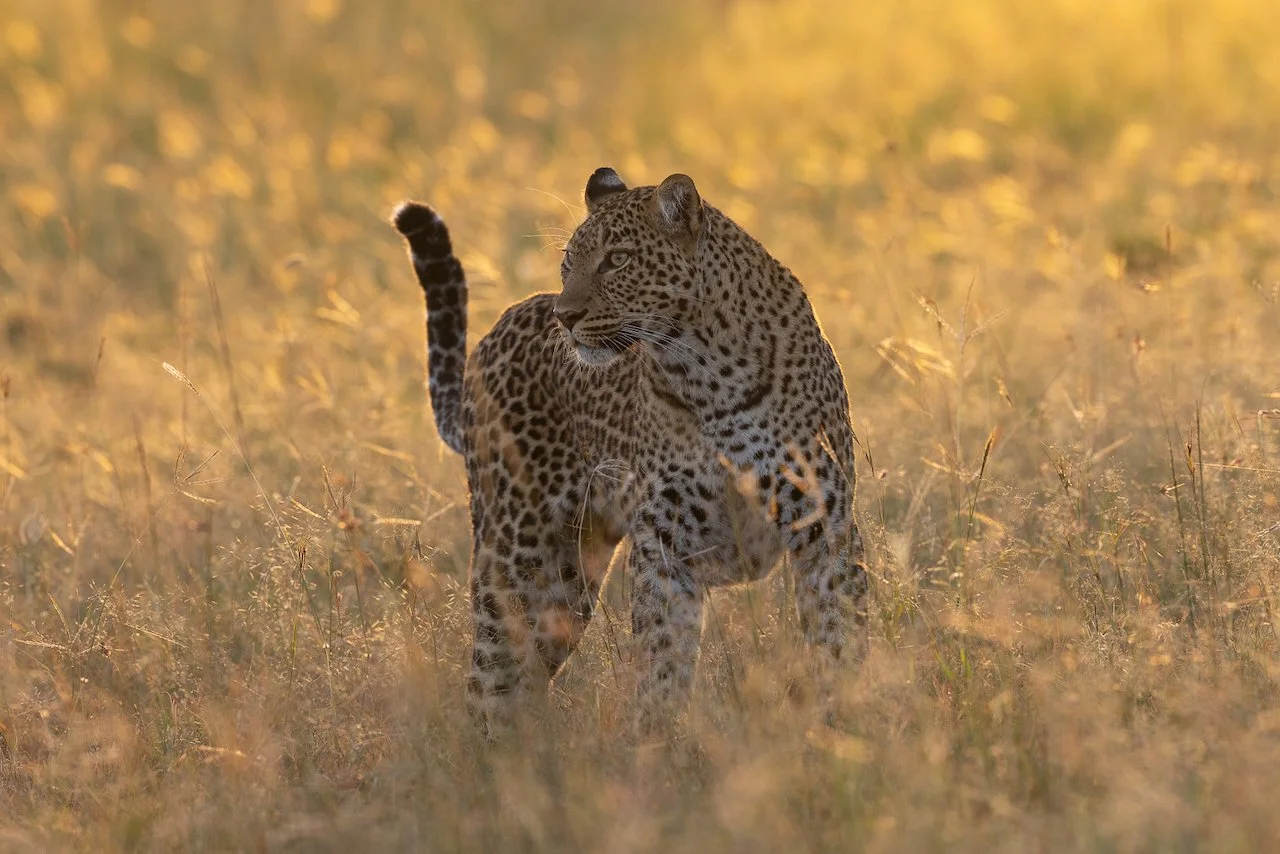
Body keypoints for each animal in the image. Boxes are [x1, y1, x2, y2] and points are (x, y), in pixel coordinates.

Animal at [391, 168, 868, 735]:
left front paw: (846, 725)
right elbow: (662, 662)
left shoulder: (824, 524)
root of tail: (490, 339)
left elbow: (838, 637)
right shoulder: (665, 546)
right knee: (489, 681)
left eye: (617, 259)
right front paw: (657, 743)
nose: (565, 316)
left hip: (567, 582)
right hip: (514, 555)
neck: (707, 373)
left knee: (523, 676)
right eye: (568, 262)